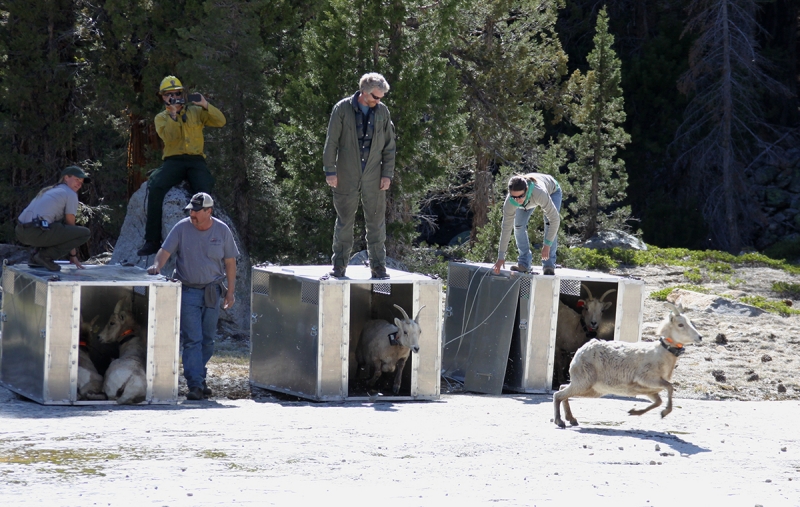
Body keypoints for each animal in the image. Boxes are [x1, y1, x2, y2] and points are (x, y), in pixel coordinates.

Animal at [552, 304, 704, 430]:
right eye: (680, 324)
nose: (700, 337)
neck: (661, 354)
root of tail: (580, 352)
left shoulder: (650, 390)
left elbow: (658, 401)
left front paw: (634, 412)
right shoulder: (648, 380)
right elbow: (670, 388)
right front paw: (664, 412)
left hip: (591, 389)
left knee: (562, 389)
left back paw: (572, 420)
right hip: (584, 384)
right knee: (558, 394)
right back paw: (560, 422)